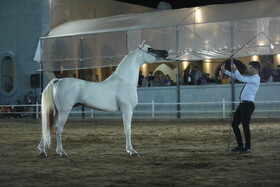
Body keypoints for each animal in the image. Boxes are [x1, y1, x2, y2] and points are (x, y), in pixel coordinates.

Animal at [37, 42, 168, 158]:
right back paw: (61, 152)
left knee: (48, 126)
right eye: (150, 49)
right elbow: (128, 129)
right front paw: (131, 151)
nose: (166, 52)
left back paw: (43, 151)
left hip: (56, 112)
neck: (124, 81)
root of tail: (58, 80)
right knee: (58, 129)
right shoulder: (127, 110)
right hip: (64, 112)